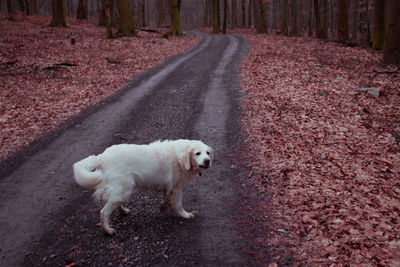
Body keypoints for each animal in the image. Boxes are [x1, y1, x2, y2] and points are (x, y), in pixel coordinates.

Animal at [73, 139, 214, 236]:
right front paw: (185, 215)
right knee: (104, 212)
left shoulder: (169, 189)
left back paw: (124, 211)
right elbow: (178, 205)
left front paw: (164, 207)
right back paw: (108, 230)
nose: (207, 161)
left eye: (207, 153)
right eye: (197, 153)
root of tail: (102, 156)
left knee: (115, 203)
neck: (180, 158)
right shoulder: (176, 188)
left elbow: (168, 200)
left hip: (123, 189)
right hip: (125, 188)